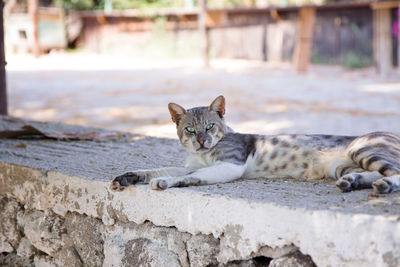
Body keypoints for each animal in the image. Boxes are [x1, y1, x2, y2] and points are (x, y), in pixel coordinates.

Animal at [110, 96, 400, 195]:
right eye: (190, 129)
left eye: (210, 126)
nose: (202, 140)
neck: (206, 154)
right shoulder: (189, 163)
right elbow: (161, 169)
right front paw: (127, 177)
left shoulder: (231, 164)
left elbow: (191, 176)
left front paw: (164, 183)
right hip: (343, 166)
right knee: (373, 173)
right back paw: (353, 182)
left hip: (363, 148)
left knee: (395, 173)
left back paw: (384, 185)